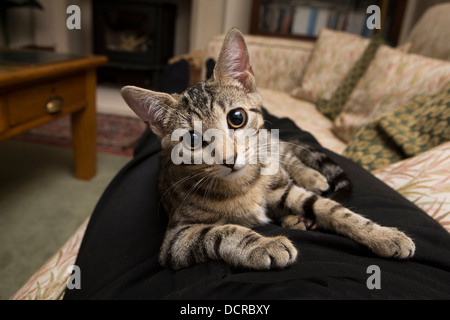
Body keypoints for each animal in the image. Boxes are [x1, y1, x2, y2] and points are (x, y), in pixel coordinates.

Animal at [120, 28, 414, 270]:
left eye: (236, 117)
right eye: (192, 140)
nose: (229, 159)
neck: (241, 187)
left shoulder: (284, 188)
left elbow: (332, 208)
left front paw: (382, 234)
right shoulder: (177, 239)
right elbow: (222, 231)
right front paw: (264, 244)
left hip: (272, 149)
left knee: (290, 159)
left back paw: (312, 178)